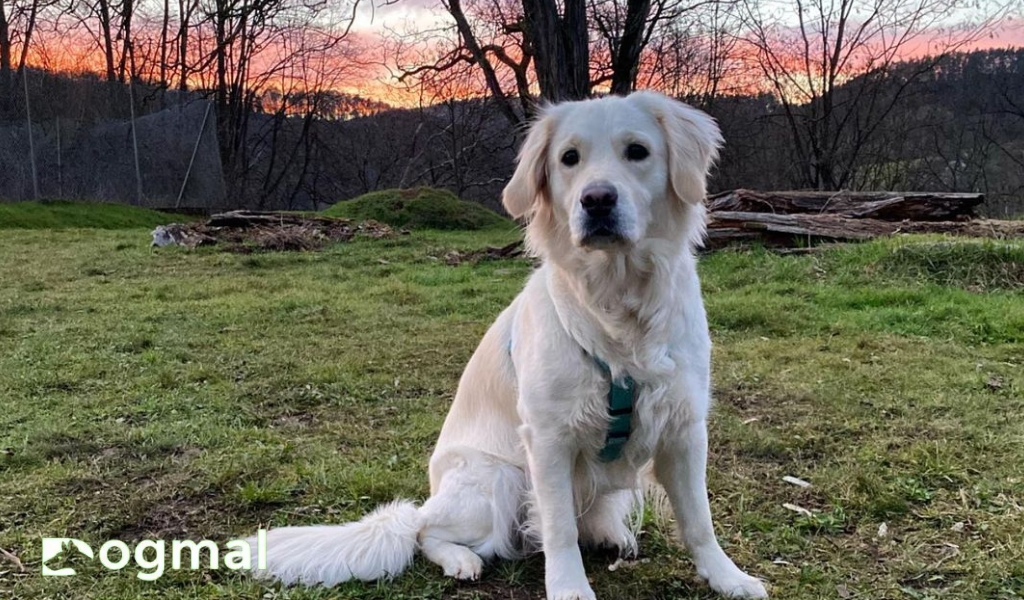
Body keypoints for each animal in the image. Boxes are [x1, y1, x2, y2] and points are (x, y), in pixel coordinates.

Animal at [251, 90, 770, 597]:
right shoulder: (548, 438)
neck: (617, 301)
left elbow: (699, 519)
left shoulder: (684, 426)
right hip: (496, 479)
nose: (597, 200)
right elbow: (559, 530)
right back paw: (460, 560)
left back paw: (609, 534)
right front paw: (570, 589)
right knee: (423, 531)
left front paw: (728, 577)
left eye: (637, 151)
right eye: (569, 158)